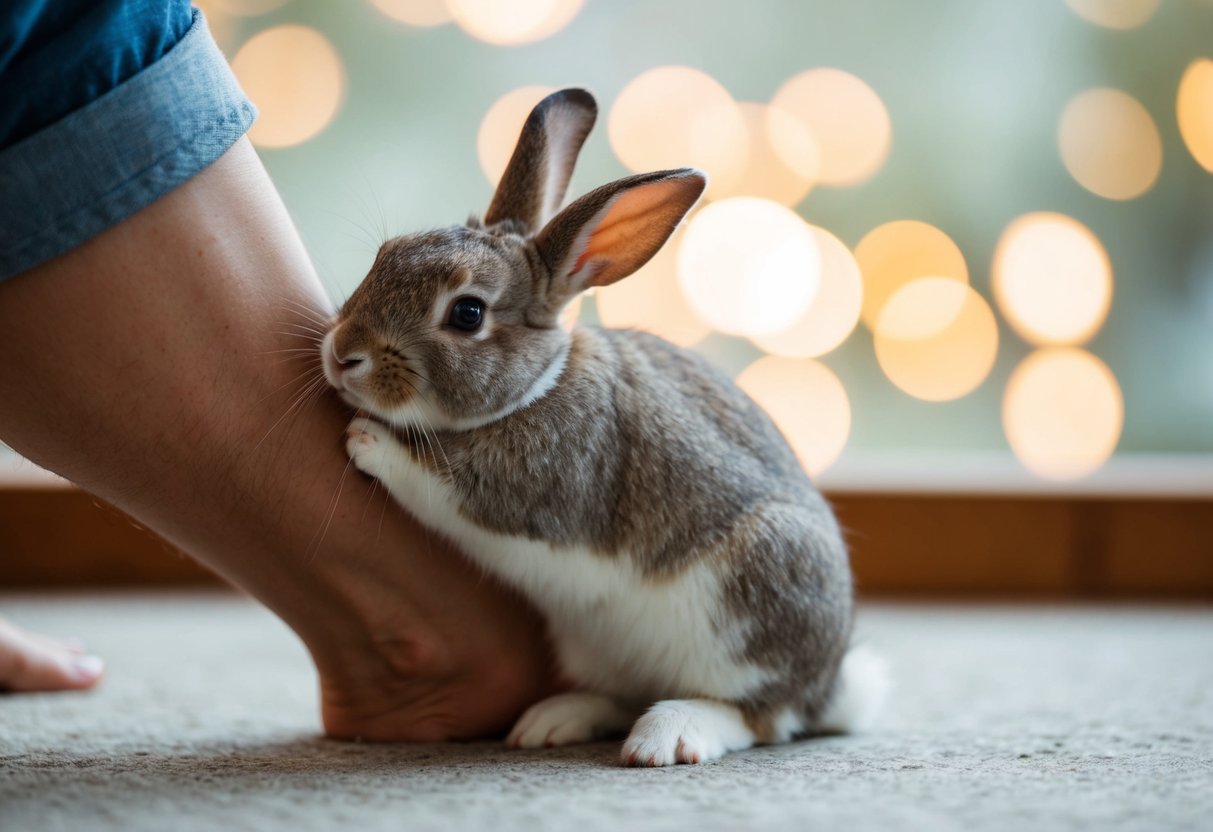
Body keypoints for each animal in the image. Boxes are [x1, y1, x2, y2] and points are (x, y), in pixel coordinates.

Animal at [321, 88, 887, 766]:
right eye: (386, 254)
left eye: (467, 314)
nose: (342, 355)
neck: (537, 387)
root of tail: (831, 686)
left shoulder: (532, 489)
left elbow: (440, 484)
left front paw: (368, 440)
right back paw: (554, 720)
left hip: (753, 597)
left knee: (762, 716)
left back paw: (669, 735)